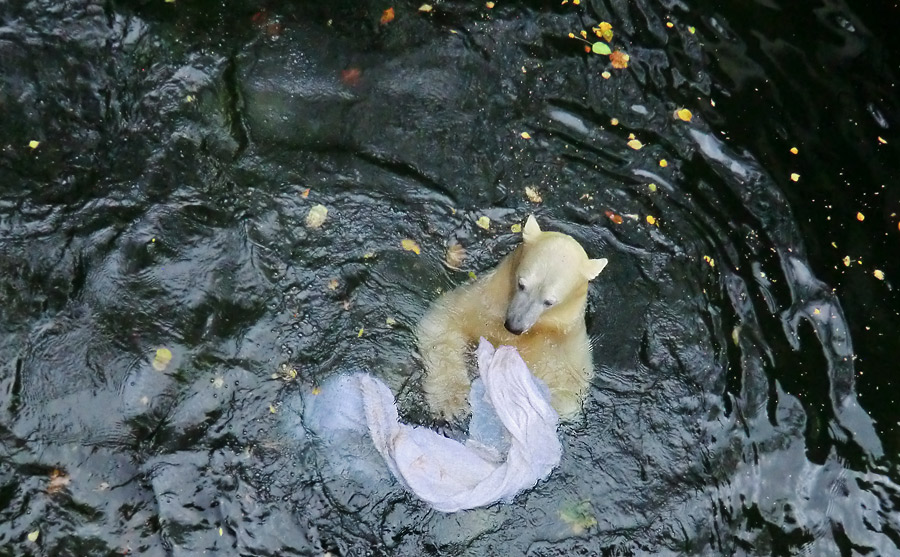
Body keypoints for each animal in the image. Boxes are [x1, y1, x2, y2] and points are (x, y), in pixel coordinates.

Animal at [418, 215, 608, 420]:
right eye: (521, 284)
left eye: (549, 301)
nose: (514, 326)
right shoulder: (483, 303)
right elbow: (442, 325)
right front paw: (452, 402)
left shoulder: (563, 345)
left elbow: (566, 393)